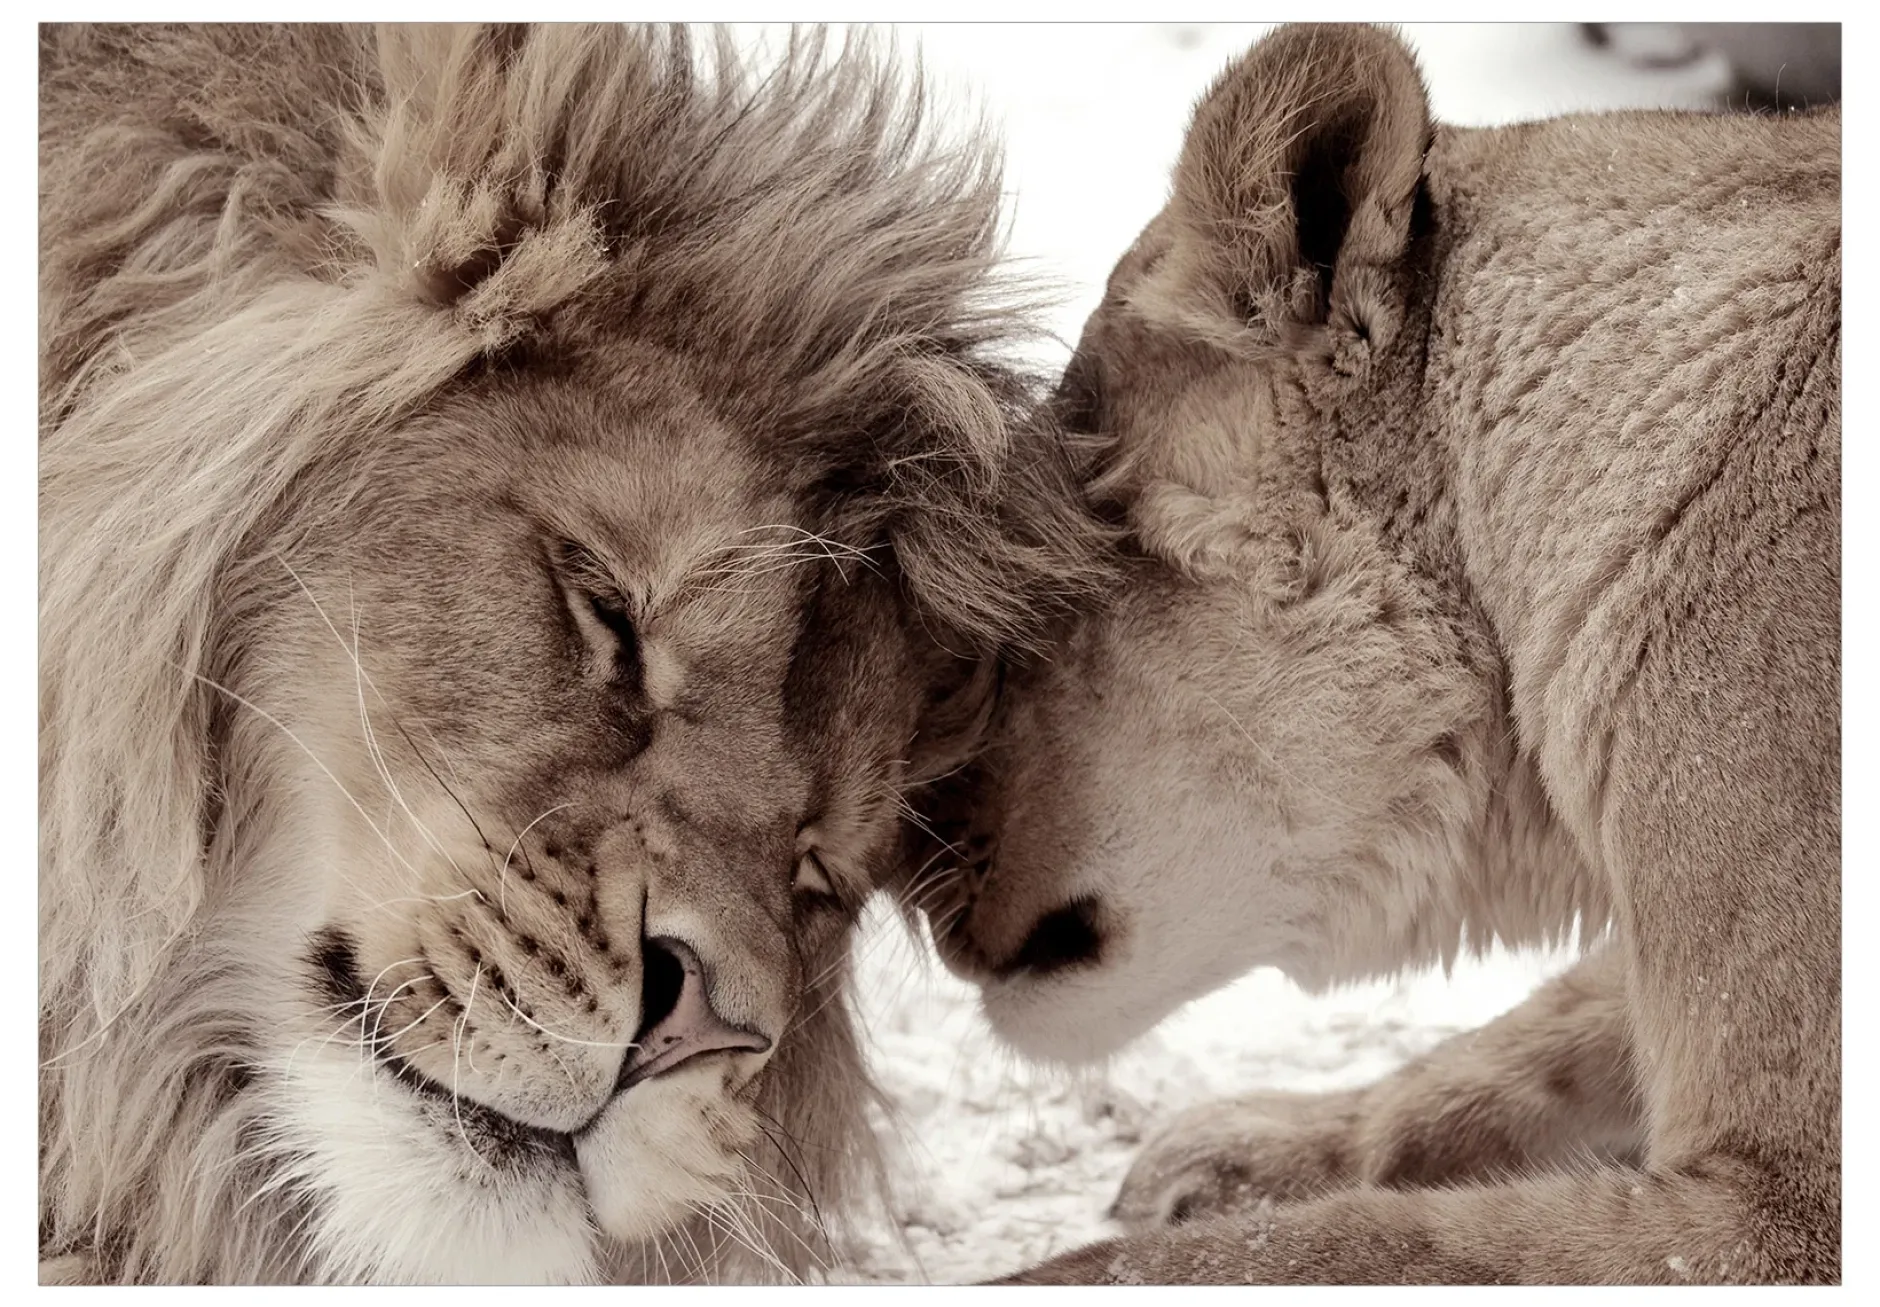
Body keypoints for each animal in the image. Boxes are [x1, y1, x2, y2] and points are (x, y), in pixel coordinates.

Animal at [914, 23, 1840, 1284]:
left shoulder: (1783, 1211)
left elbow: (1344, 1244)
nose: (901, 865)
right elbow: (1521, 1044)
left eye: (1024, 602)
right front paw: (1241, 1148)